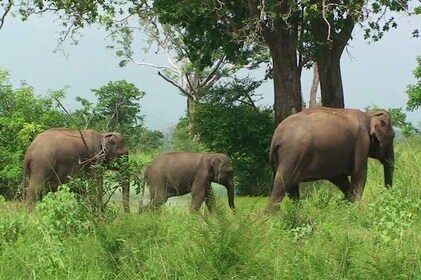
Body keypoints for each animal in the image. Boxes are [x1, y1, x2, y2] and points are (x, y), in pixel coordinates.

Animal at [266, 107, 394, 212]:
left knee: (291, 188)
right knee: (282, 185)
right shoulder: (361, 142)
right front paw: (354, 209)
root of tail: (276, 137)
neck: (369, 115)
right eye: (393, 136)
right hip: (293, 155)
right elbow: (359, 174)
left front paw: (346, 204)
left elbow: (339, 178)